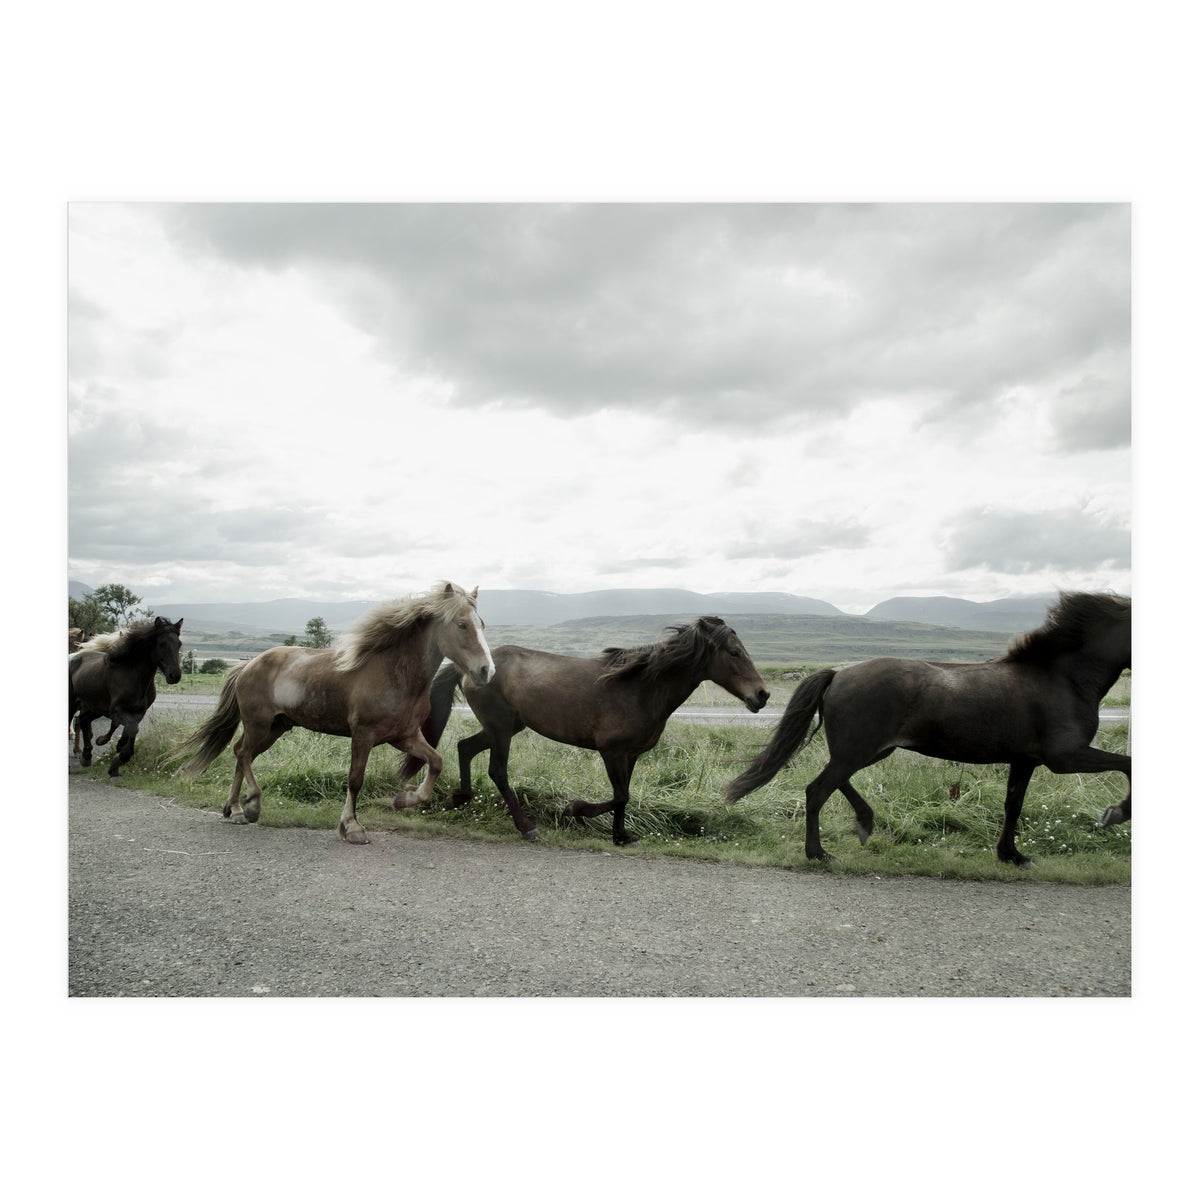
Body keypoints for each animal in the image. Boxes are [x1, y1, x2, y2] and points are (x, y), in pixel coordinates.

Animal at [69, 617, 185, 777]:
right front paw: (120, 756)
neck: (133, 676)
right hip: (74, 703)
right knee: (77, 720)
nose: (175, 675)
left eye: (179, 644)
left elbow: (128, 730)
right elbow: (131, 728)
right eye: (161, 643)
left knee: (83, 720)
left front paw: (116, 757)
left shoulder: (138, 712)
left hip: (94, 707)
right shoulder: (117, 710)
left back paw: (86, 756)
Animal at [173, 582, 495, 845]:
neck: (394, 675)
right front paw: (351, 828)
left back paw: (235, 809)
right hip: (259, 724)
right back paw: (250, 806)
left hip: (275, 728)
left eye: (482, 624)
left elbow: (436, 762)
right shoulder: (363, 735)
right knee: (242, 753)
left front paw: (404, 799)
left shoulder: (405, 737)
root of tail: (247, 665)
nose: (485, 671)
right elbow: (355, 779)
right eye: (462, 624)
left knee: (243, 754)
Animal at [420, 616, 770, 846]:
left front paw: (622, 836)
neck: (640, 687)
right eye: (735, 652)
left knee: (465, 747)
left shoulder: (631, 755)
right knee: (498, 771)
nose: (762, 695)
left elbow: (624, 796)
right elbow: (619, 795)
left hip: (506, 727)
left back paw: (458, 798)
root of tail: (471, 667)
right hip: (501, 728)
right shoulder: (611, 751)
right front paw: (575, 809)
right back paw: (527, 827)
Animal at [724, 591, 1131, 866]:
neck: (1062, 677)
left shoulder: (1025, 760)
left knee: (834, 784)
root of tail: (839, 673)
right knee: (818, 790)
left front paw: (1011, 855)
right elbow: (1128, 765)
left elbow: (1013, 805)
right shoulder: (1066, 757)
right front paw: (1115, 813)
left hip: (869, 750)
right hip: (858, 750)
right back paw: (819, 852)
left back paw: (864, 823)